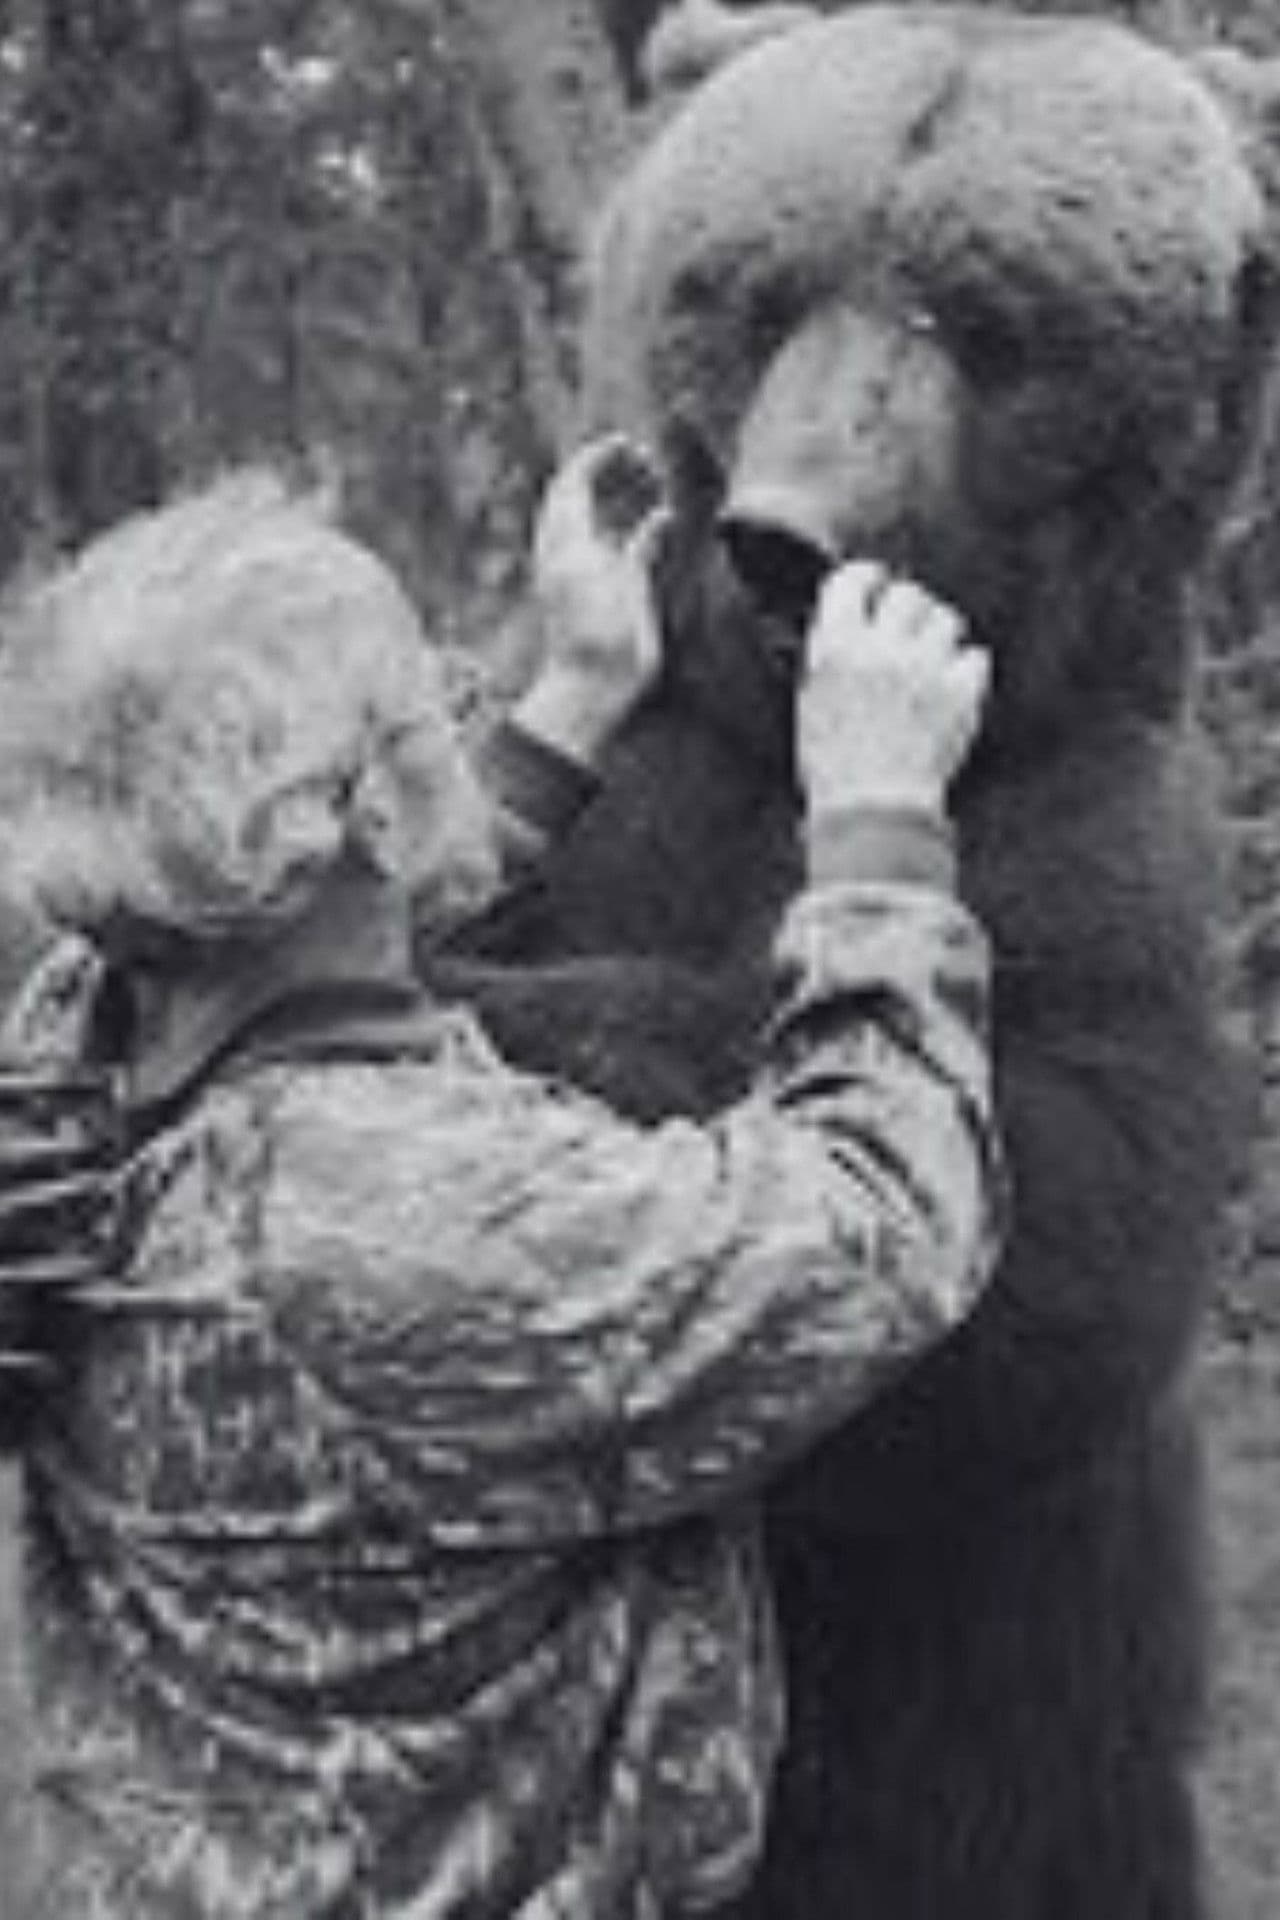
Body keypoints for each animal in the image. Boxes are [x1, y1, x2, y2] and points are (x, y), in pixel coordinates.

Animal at [435, 9, 1280, 1917]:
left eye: (986, 320)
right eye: (754, 287)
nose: (781, 531)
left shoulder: (1106, 850)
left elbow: (1057, 1226)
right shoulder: (653, 776)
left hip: (1052, 1788)